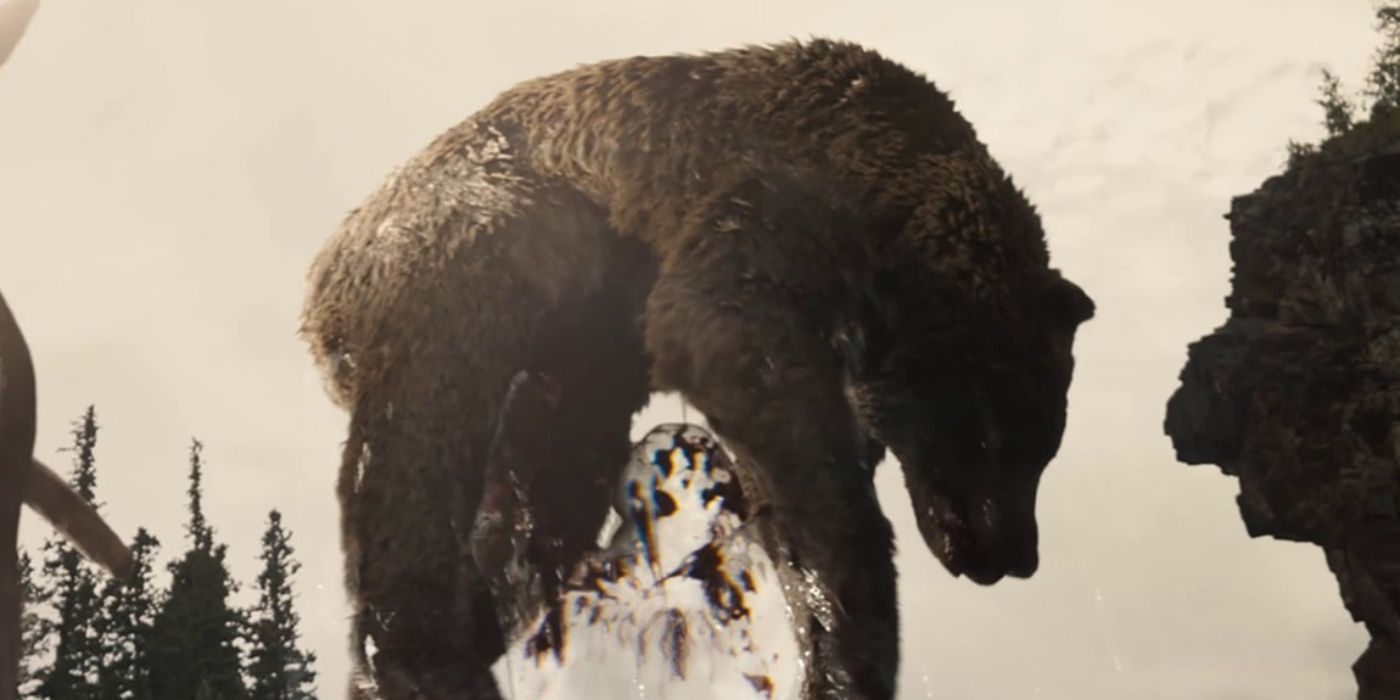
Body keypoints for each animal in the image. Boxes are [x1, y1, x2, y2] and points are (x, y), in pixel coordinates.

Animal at [300, 38, 1094, 700]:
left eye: (1044, 444)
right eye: (989, 431)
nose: (1010, 553)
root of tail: (322, 279)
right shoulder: (760, 220)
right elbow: (721, 343)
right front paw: (847, 635)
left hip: (569, 368)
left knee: (543, 497)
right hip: (471, 261)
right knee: (419, 454)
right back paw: (427, 658)